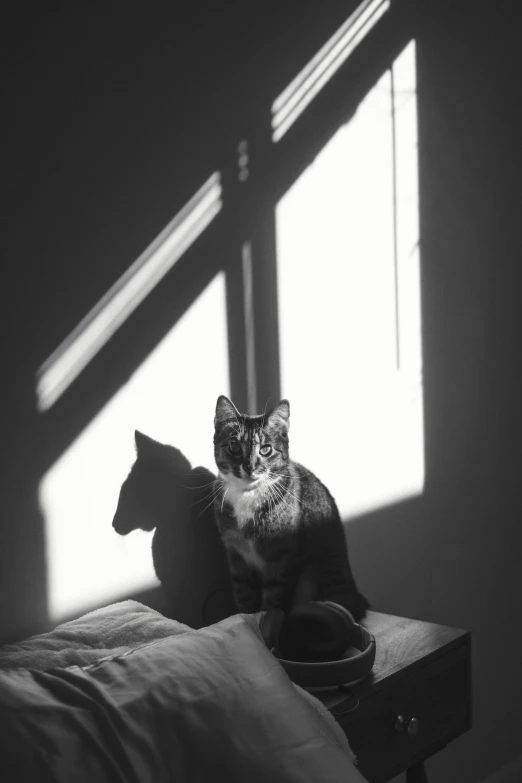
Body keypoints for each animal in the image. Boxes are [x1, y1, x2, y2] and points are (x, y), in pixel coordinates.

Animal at [212, 398, 370, 624]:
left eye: (266, 450)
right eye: (234, 447)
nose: (249, 467)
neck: (248, 495)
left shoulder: (281, 558)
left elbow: (273, 598)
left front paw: (265, 619)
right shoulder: (236, 555)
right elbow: (244, 594)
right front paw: (244, 618)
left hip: (315, 574)